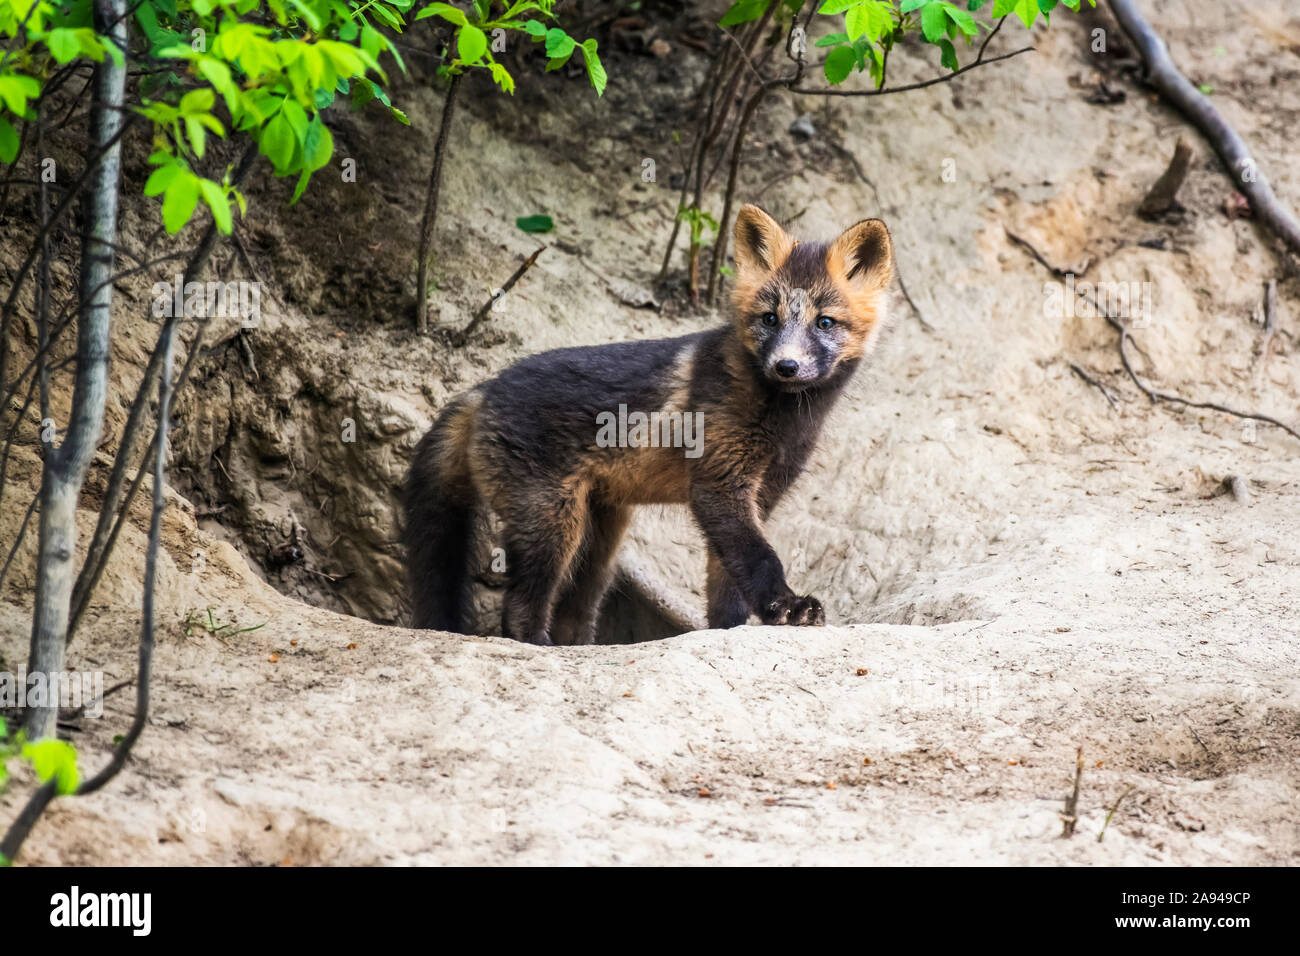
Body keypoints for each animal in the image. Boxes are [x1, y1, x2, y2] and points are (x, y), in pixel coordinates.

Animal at [403, 204, 894, 647]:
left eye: (824, 322)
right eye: (769, 319)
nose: (786, 366)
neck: (783, 421)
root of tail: (485, 386)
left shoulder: (760, 495)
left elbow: (727, 587)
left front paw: (728, 632)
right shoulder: (719, 486)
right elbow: (760, 561)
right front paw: (787, 607)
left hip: (600, 542)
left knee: (573, 618)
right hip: (553, 527)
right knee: (520, 611)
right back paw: (536, 647)